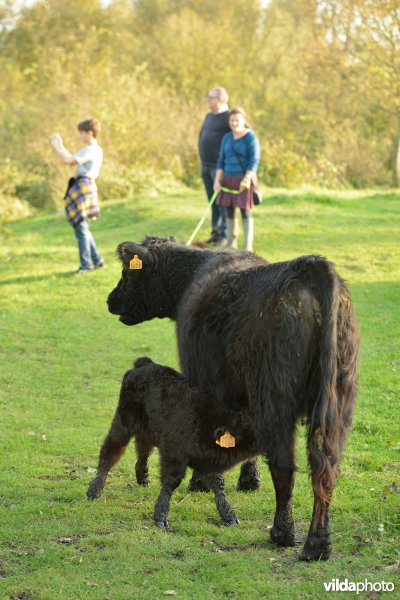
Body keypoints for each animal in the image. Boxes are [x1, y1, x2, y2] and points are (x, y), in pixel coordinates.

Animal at [106, 237, 360, 560]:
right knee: (325, 466)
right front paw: (248, 481)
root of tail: (304, 266)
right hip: (337, 404)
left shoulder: (203, 384)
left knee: (284, 466)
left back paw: (282, 533)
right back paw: (318, 543)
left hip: (275, 401)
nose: (110, 299)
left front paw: (200, 482)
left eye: (128, 273)